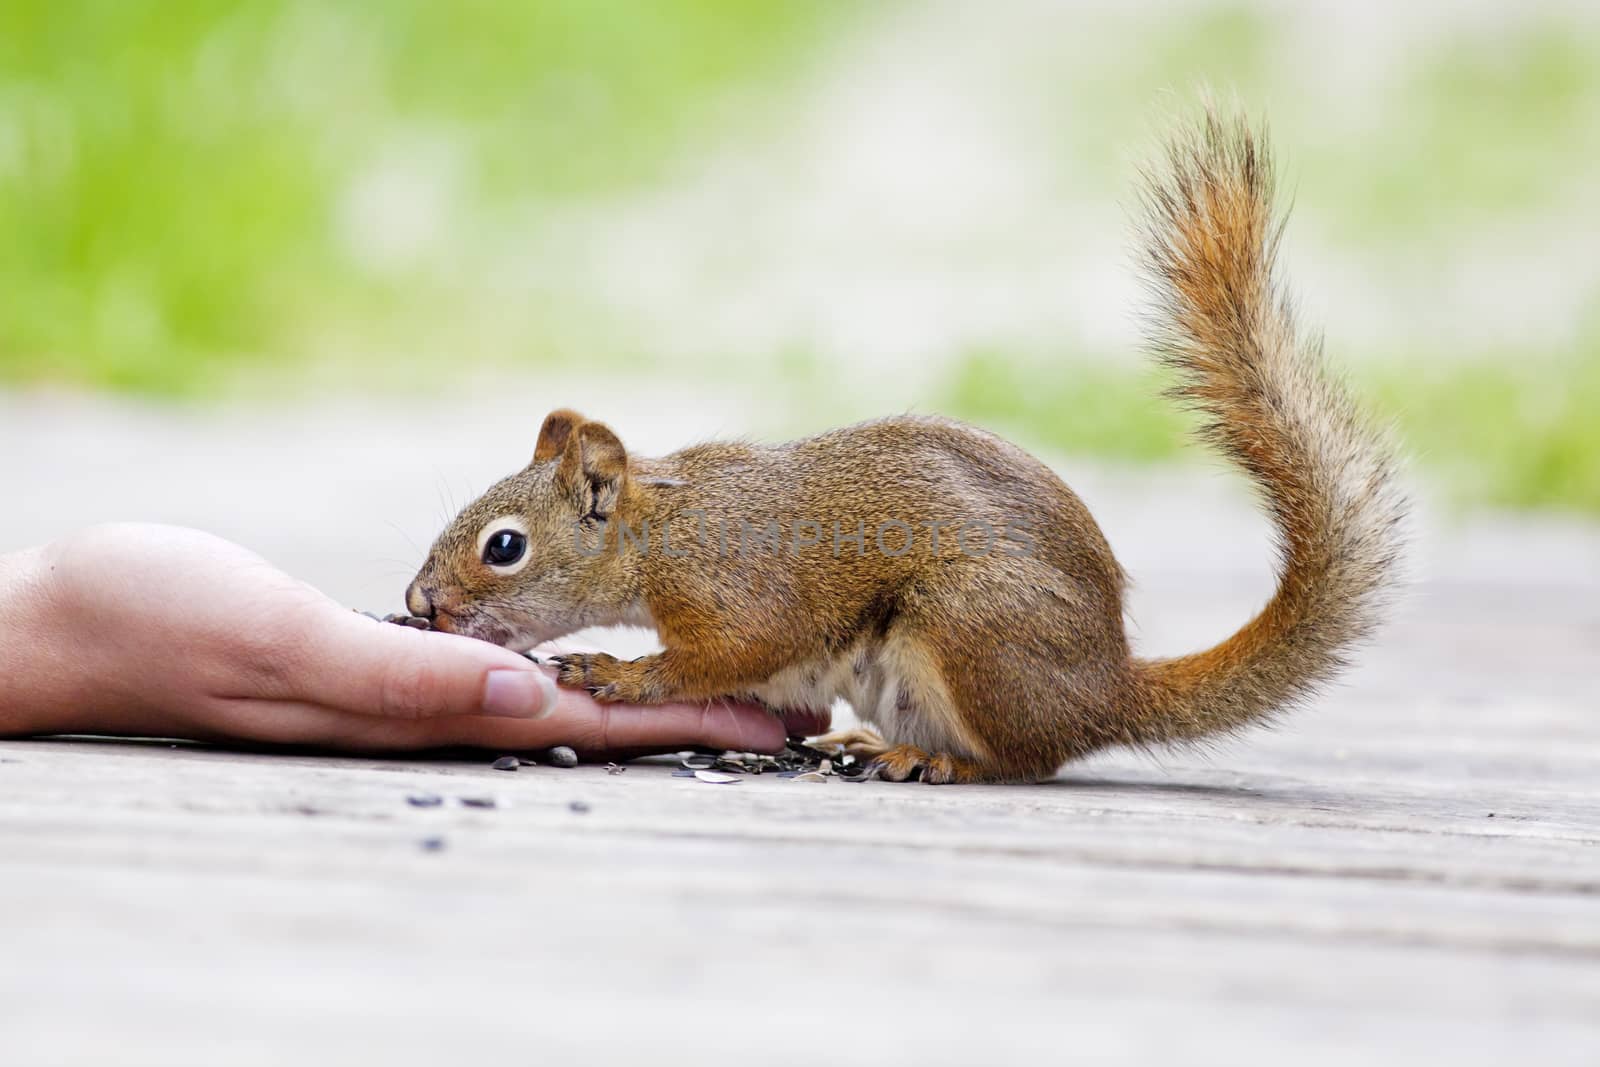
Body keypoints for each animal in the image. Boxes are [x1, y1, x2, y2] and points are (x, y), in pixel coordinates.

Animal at [406, 108, 1408, 783]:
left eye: (505, 546)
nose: (418, 603)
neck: (659, 535)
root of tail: (1106, 688)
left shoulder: (737, 585)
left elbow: (722, 654)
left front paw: (613, 668)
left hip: (969, 625)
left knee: (1025, 759)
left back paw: (940, 762)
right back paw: (869, 741)